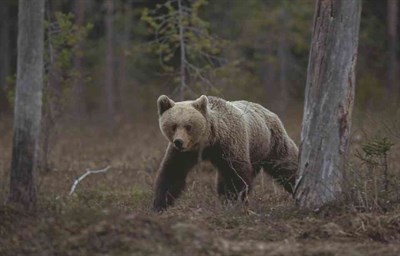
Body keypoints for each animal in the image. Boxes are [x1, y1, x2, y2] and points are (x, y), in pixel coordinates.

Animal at [152, 95, 296, 211]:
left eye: (188, 126)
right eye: (173, 126)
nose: (179, 142)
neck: (208, 141)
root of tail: (268, 111)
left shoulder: (230, 145)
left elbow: (237, 176)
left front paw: (235, 201)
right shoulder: (184, 153)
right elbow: (172, 172)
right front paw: (159, 204)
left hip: (271, 143)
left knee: (286, 165)